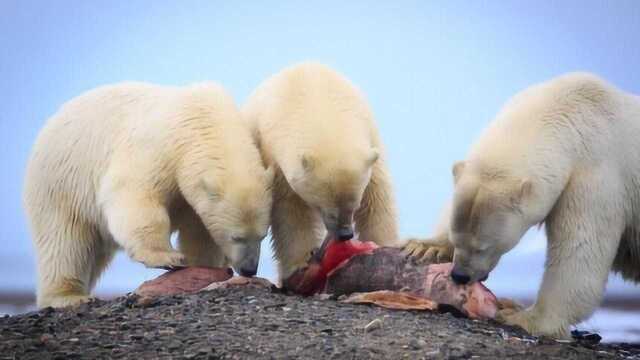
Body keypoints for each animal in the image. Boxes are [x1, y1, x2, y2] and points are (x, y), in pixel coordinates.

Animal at [21, 83, 272, 308]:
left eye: (262, 236)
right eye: (237, 237)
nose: (249, 269)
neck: (201, 120)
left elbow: (200, 230)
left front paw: (202, 265)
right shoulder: (158, 150)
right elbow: (136, 196)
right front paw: (169, 258)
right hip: (61, 183)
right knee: (65, 242)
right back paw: (69, 296)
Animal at [242, 62, 398, 282]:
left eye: (354, 205)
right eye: (325, 209)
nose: (345, 235)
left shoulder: (370, 135)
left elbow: (377, 196)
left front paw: (382, 246)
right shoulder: (275, 156)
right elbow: (290, 211)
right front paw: (300, 262)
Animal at [408, 72, 640, 338]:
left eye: (483, 247)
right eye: (456, 239)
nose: (460, 275)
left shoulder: (596, 178)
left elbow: (579, 250)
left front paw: (521, 316)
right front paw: (425, 247)